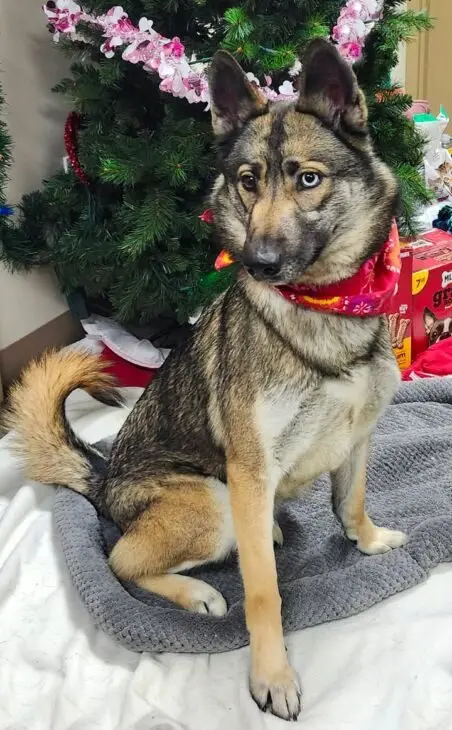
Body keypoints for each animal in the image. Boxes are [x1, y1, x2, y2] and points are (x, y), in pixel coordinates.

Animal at [5, 39, 406, 721]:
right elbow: (264, 592)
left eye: (308, 179)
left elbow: (350, 503)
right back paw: (197, 593)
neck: (323, 309)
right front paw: (272, 676)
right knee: (120, 558)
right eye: (247, 182)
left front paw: (369, 540)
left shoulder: (357, 439)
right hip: (213, 502)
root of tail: (104, 480)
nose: (258, 262)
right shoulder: (250, 470)